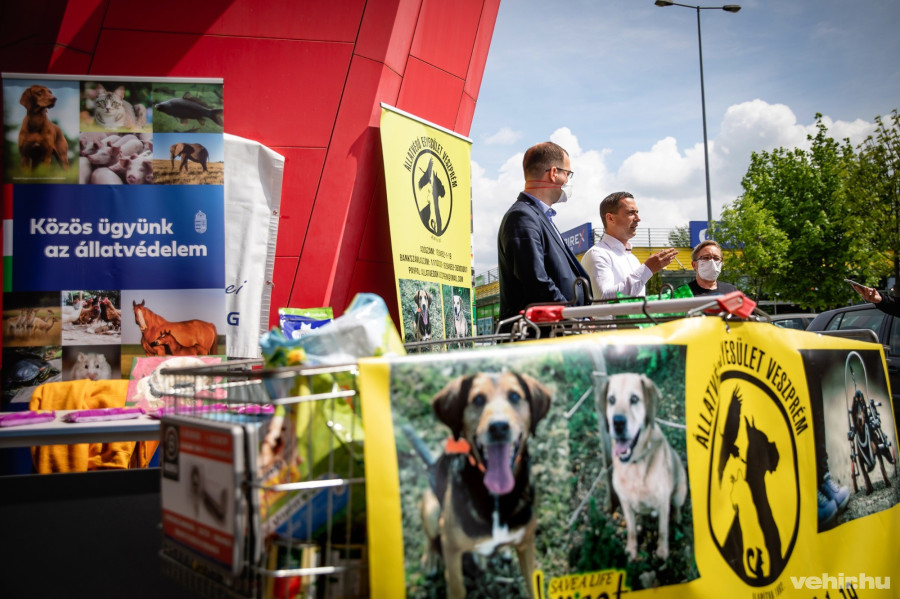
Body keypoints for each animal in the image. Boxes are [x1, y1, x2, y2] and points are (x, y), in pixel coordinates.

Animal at [406, 372, 552, 599]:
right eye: (478, 399)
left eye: (515, 396)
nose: (498, 427)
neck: (497, 499)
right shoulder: (451, 550)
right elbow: (457, 587)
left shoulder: (527, 545)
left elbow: (532, 584)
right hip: (431, 507)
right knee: (431, 537)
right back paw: (430, 559)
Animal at [599, 373, 687, 561]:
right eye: (611, 400)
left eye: (634, 399)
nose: (617, 422)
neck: (634, 465)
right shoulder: (625, 502)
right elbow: (631, 530)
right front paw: (631, 551)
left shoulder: (663, 502)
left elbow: (663, 531)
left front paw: (662, 553)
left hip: (679, 493)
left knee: (676, 507)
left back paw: (677, 517)